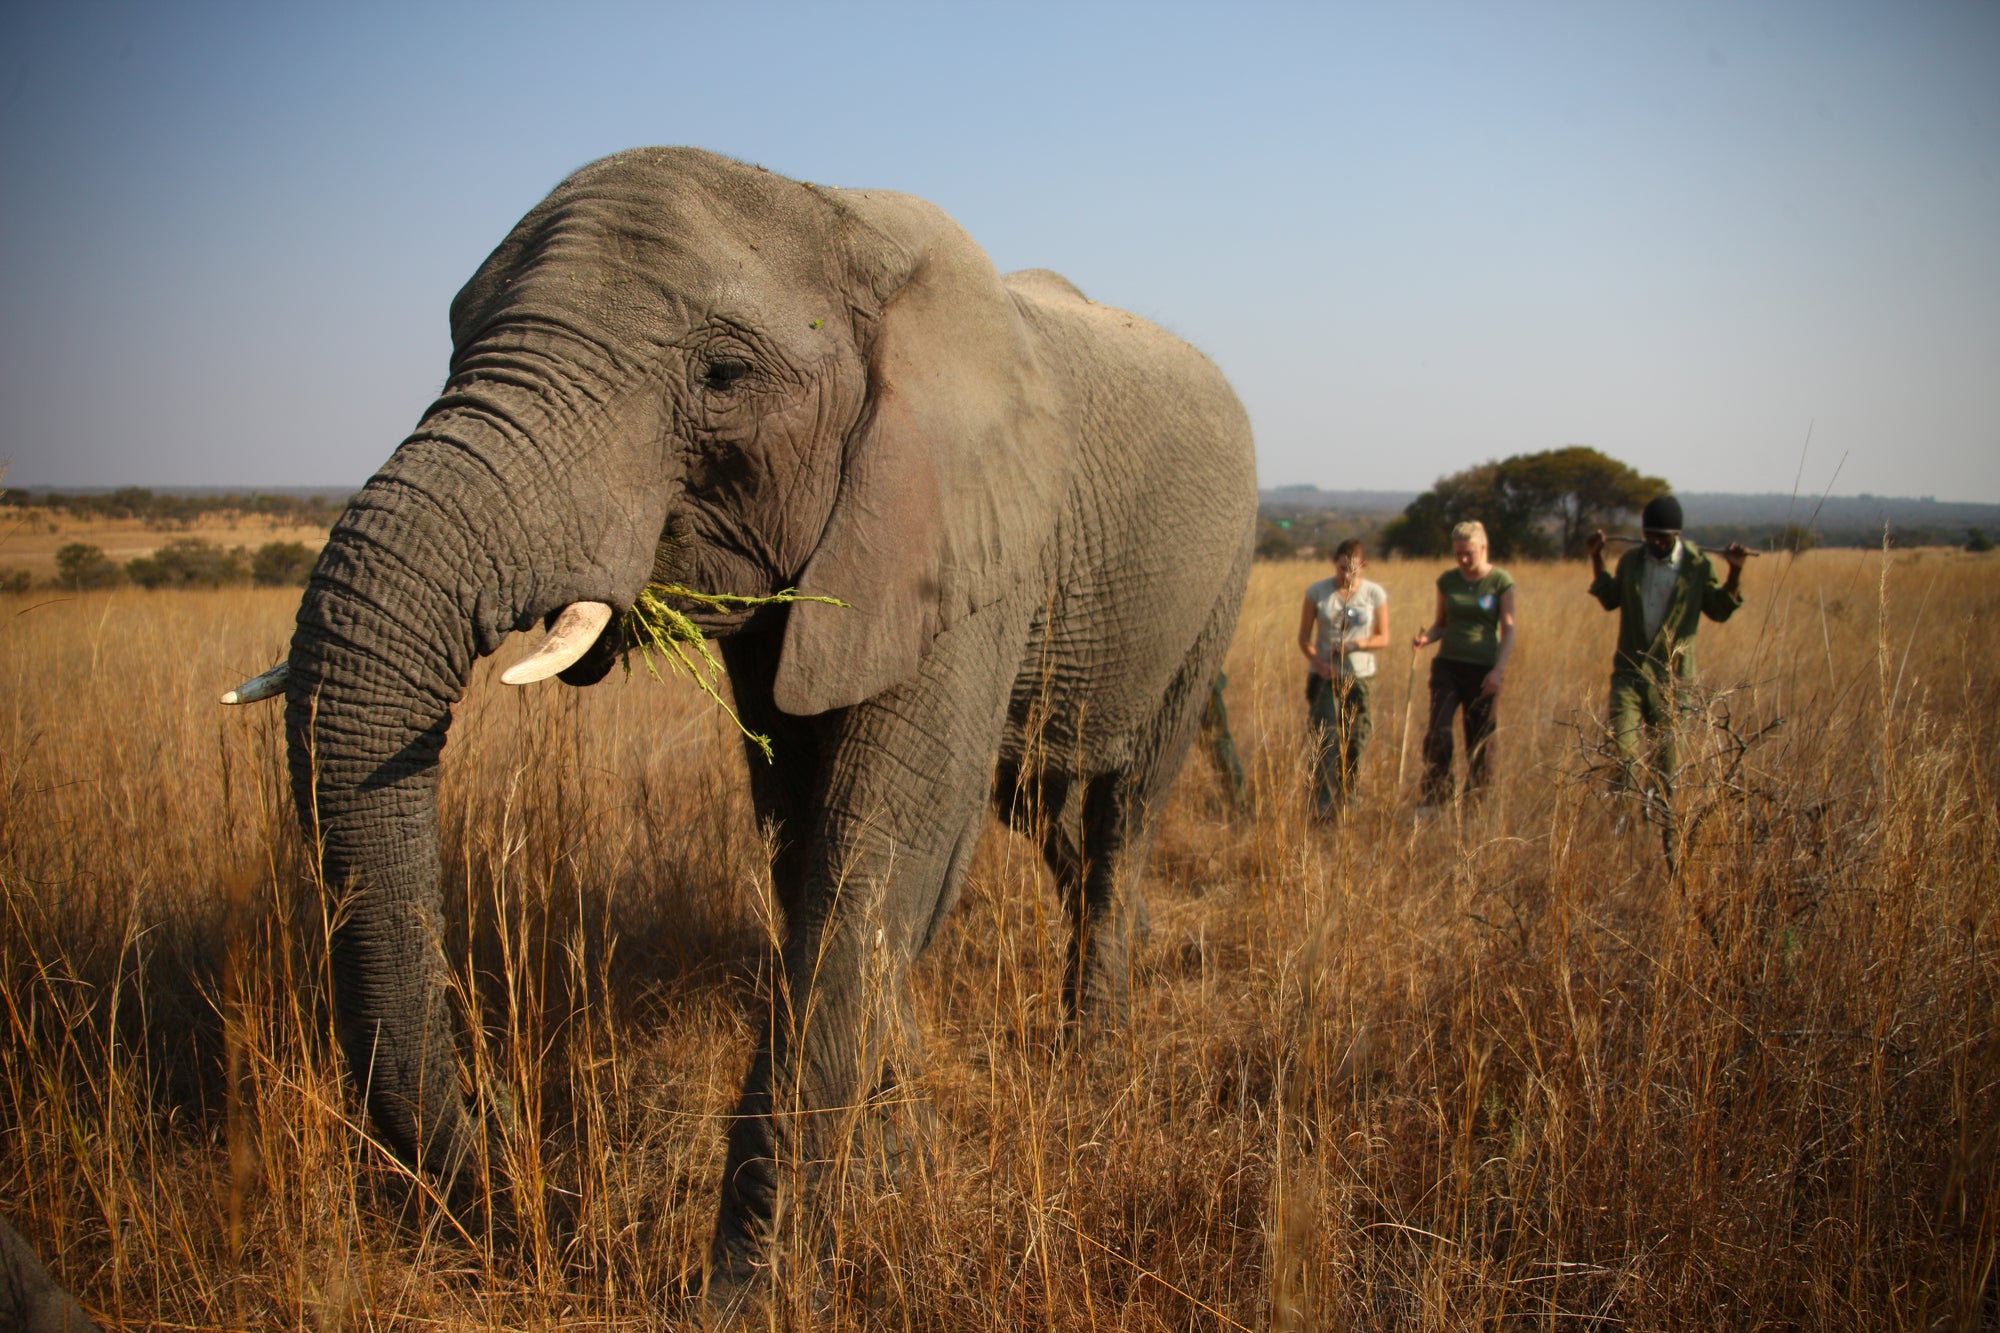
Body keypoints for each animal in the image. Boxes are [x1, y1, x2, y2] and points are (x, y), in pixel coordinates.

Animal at [232, 146, 1256, 1299]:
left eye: (721, 377)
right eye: (453, 338)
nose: (498, 1152)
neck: (835, 212)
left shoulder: (970, 539)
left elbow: (881, 850)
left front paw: (743, 1289)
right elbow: (806, 843)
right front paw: (890, 1173)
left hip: (1214, 591)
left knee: (1127, 808)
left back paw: (1091, 1057)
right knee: (1044, 806)